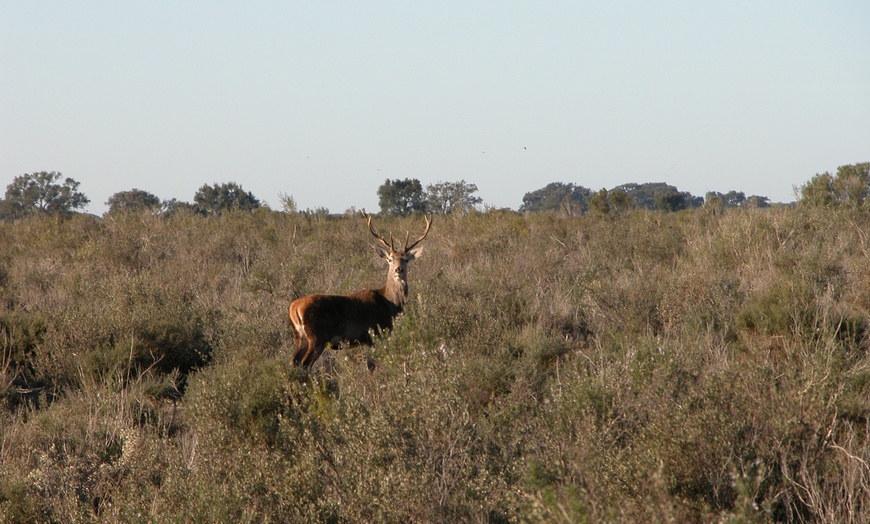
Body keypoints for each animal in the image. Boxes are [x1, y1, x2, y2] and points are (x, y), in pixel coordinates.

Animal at [290, 211, 432, 366]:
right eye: (390, 259)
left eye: (406, 259)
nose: (398, 270)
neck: (390, 304)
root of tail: (294, 308)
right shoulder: (376, 333)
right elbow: (373, 364)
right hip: (318, 336)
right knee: (304, 363)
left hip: (301, 336)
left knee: (294, 361)